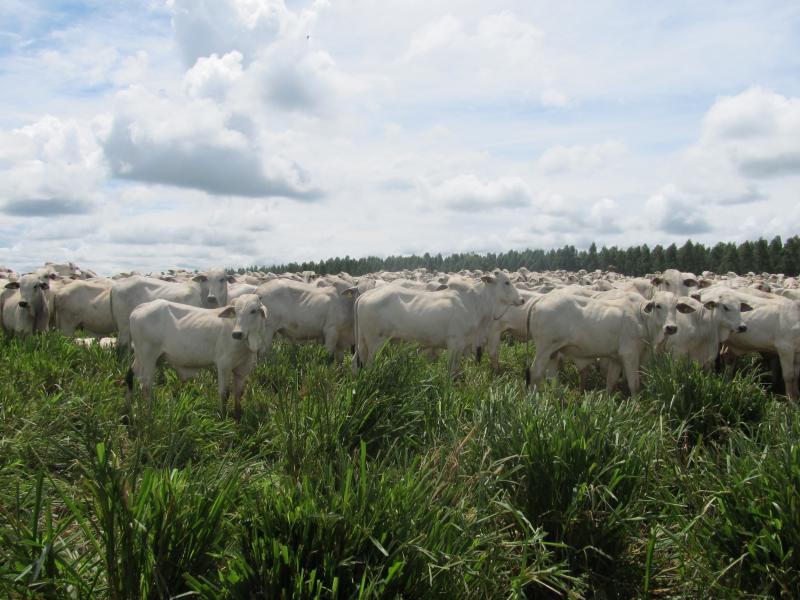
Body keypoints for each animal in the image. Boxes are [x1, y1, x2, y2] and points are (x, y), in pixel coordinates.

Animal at [126, 294, 268, 418]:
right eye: (236, 311)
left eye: (253, 311)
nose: (237, 334)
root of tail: (141, 307)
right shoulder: (224, 365)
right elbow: (224, 393)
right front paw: (223, 417)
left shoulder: (242, 370)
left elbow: (239, 394)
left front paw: (238, 416)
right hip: (148, 356)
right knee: (146, 384)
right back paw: (149, 415)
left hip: (142, 356)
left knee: (131, 374)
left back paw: (128, 413)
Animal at [354, 268, 520, 372]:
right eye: (506, 282)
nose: (522, 299)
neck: (475, 303)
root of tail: (365, 295)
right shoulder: (454, 343)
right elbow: (452, 371)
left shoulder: (462, 345)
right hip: (376, 342)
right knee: (369, 365)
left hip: (362, 341)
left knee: (355, 362)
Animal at [524, 290, 692, 394]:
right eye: (658, 305)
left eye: (676, 307)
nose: (671, 327)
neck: (642, 318)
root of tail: (541, 299)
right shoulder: (629, 354)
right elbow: (634, 384)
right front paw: (635, 406)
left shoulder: (616, 358)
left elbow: (611, 381)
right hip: (544, 349)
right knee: (535, 372)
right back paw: (534, 401)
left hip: (553, 351)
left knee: (552, 376)